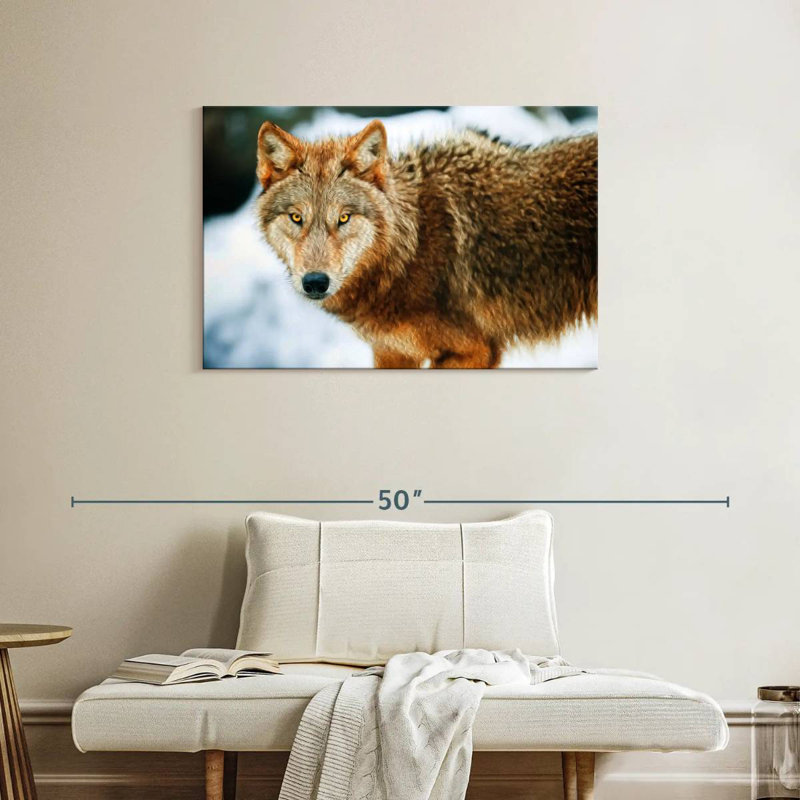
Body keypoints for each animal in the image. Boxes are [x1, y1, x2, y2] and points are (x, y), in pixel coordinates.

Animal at [255, 118, 597, 368]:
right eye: (296, 217)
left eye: (344, 218)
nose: (315, 282)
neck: (412, 247)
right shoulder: (391, 353)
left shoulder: (476, 351)